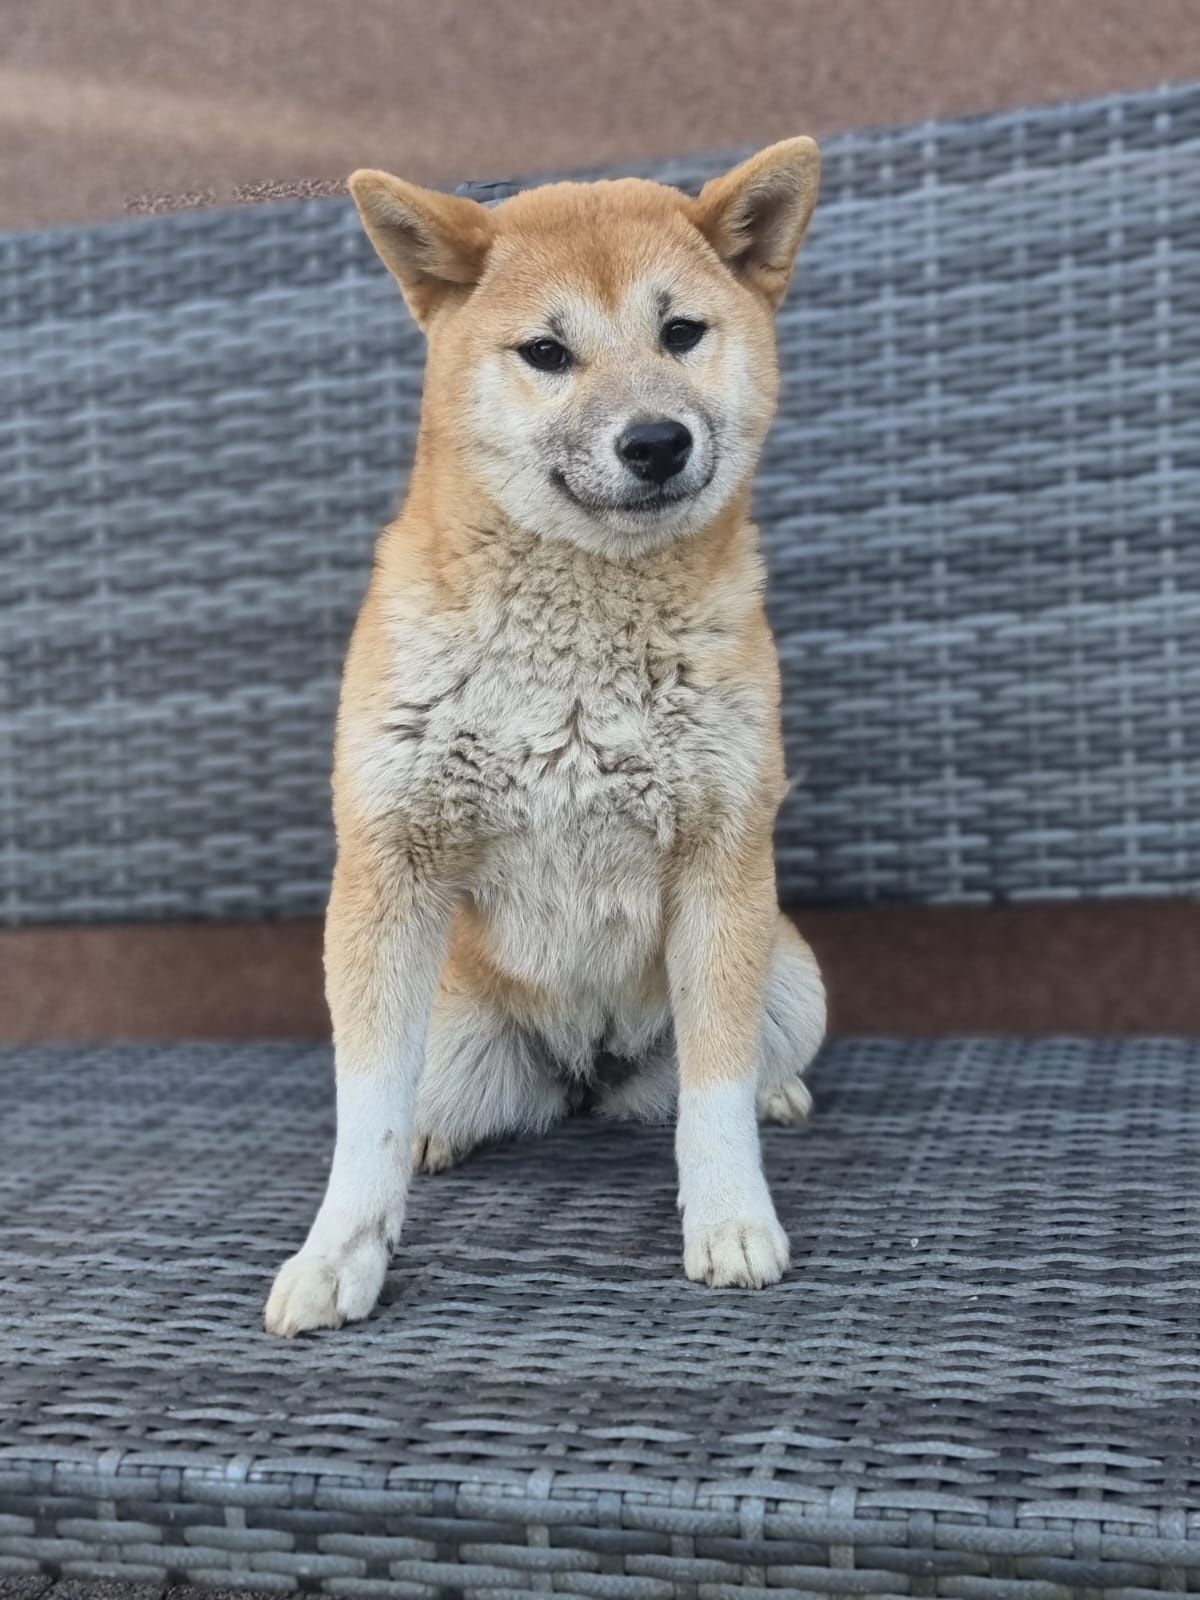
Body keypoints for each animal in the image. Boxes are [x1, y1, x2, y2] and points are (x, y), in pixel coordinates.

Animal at [262, 137, 825, 1337]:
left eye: (681, 333)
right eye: (547, 352)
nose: (656, 440)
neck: (573, 655)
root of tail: (585, 1066)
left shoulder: (722, 859)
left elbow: (712, 1096)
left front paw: (729, 1219)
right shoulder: (387, 860)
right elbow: (365, 1115)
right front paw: (340, 1253)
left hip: (791, 972)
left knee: (721, 1073)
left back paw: (779, 1090)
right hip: (450, 1015)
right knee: (428, 1097)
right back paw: (439, 1135)